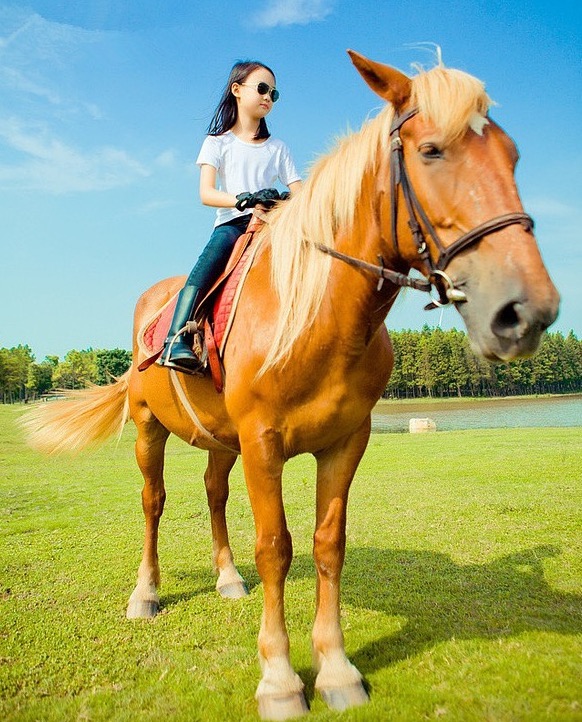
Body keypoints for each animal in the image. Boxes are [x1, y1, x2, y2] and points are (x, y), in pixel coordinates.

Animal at [21, 49, 560, 716]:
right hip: (151, 428)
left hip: (222, 442)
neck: (312, 316)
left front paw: (336, 669)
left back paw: (227, 578)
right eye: (432, 151)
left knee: (213, 493)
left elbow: (329, 544)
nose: (525, 310)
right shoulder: (263, 442)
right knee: (154, 501)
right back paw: (145, 594)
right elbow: (276, 547)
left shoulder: (345, 441)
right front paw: (279, 678)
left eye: (512, 155)